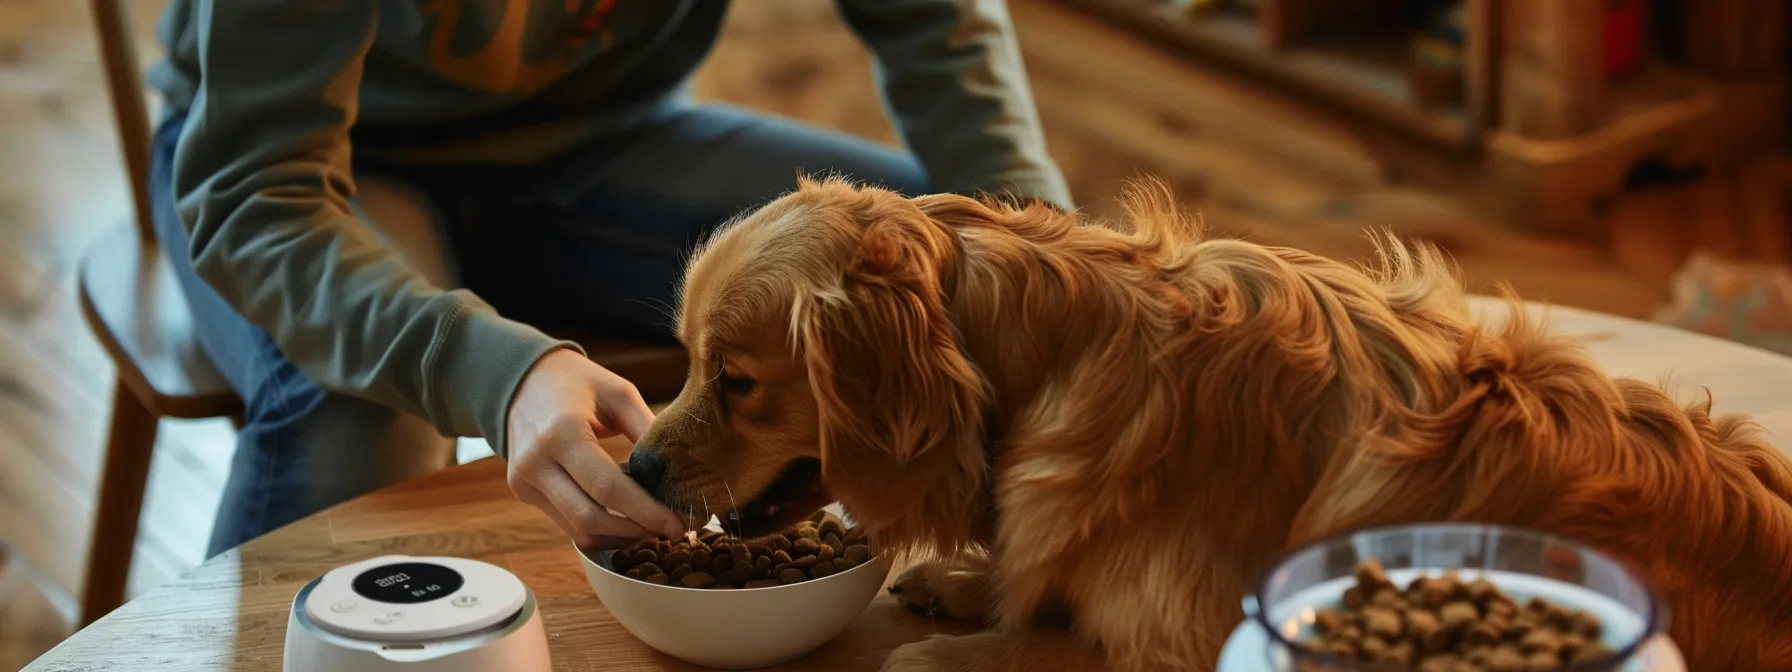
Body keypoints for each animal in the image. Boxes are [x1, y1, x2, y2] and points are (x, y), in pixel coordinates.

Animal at [627, 177, 1792, 672]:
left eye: (736, 380)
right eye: (684, 361)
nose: (634, 464)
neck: (1041, 362)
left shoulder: (1186, 641)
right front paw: (972, 580)